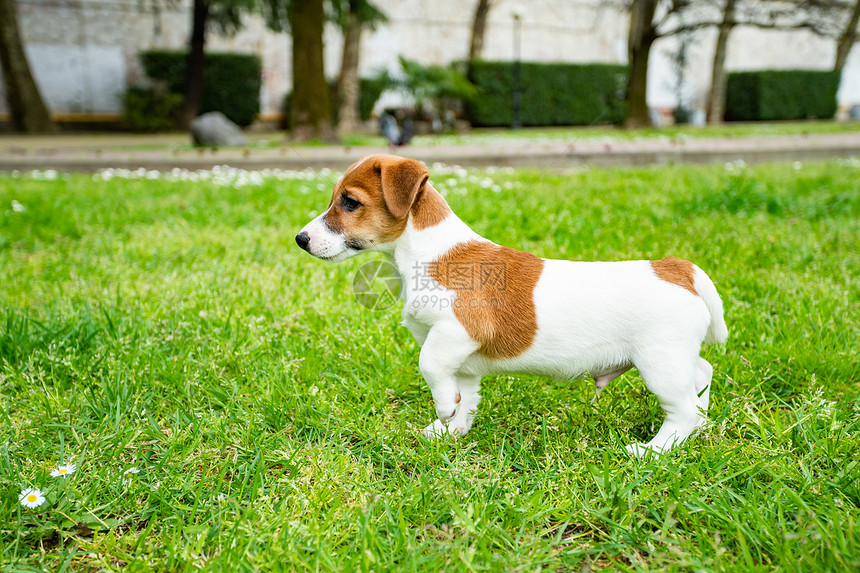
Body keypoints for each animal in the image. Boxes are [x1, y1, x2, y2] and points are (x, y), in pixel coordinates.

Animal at [296, 153, 724, 456]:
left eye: (350, 203)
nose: (301, 239)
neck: (428, 252)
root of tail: (675, 268)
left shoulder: (455, 332)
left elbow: (429, 366)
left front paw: (444, 410)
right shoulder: (462, 360)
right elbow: (465, 395)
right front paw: (450, 431)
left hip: (660, 364)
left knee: (681, 409)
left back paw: (652, 451)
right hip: (676, 360)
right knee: (701, 376)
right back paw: (701, 426)